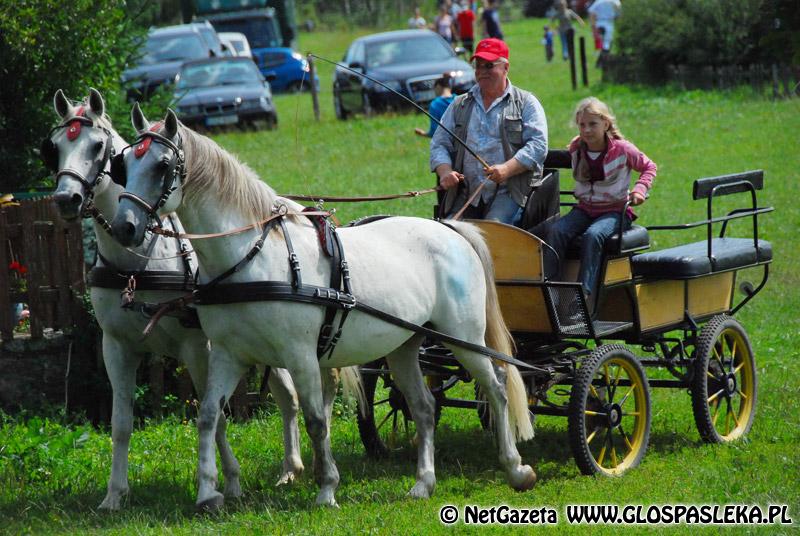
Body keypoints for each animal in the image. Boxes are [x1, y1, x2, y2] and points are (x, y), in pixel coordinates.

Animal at [43, 89, 312, 510]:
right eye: (54, 147)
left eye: (98, 146)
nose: (67, 198)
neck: (138, 261)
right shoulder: (116, 347)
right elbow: (121, 424)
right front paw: (114, 494)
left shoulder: (196, 347)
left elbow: (215, 416)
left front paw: (224, 484)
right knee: (286, 394)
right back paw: (290, 468)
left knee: (287, 395)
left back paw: (290, 468)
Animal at [109, 105, 536, 510]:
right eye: (123, 165)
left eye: (162, 165)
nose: (124, 228)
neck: (252, 257)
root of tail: (451, 229)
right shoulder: (230, 355)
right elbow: (210, 417)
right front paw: (207, 493)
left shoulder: (300, 356)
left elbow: (315, 420)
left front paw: (327, 488)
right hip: (404, 346)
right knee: (424, 407)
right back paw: (423, 483)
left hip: (463, 337)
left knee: (497, 387)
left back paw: (515, 468)